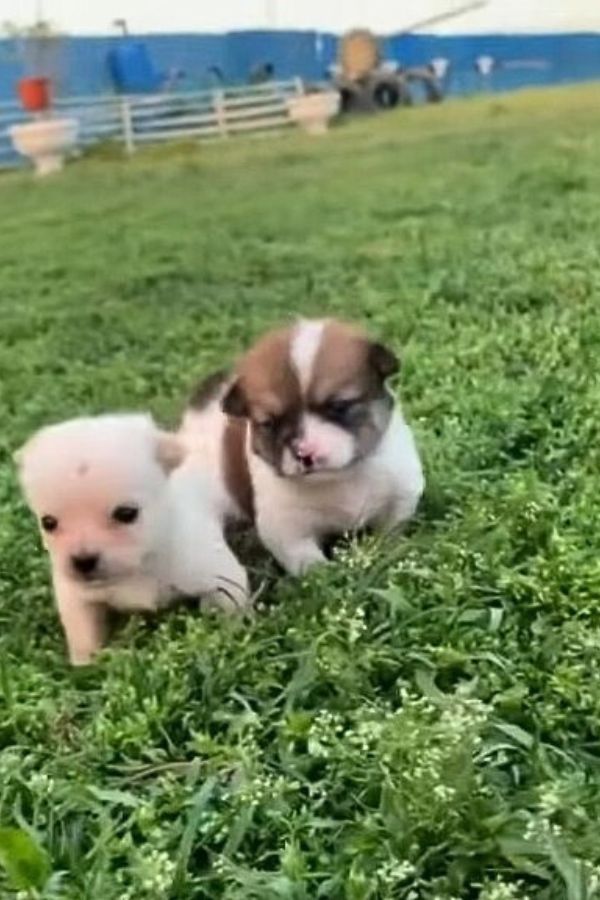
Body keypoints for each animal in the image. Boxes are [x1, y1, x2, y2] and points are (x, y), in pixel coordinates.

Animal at [15, 414, 248, 660]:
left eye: (126, 513)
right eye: (48, 523)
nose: (83, 561)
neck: (139, 566)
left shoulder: (221, 577)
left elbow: (227, 611)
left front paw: (224, 639)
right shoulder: (77, 598)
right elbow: (84, 634)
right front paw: (86, 664)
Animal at [180, 320, 424, 572]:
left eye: (339, 406)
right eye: (269, 423)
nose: (304, 453)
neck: (340, 478)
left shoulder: (401, 493)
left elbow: (391, 531)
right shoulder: (286, 529)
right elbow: (309, 563)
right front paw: (327, 575)